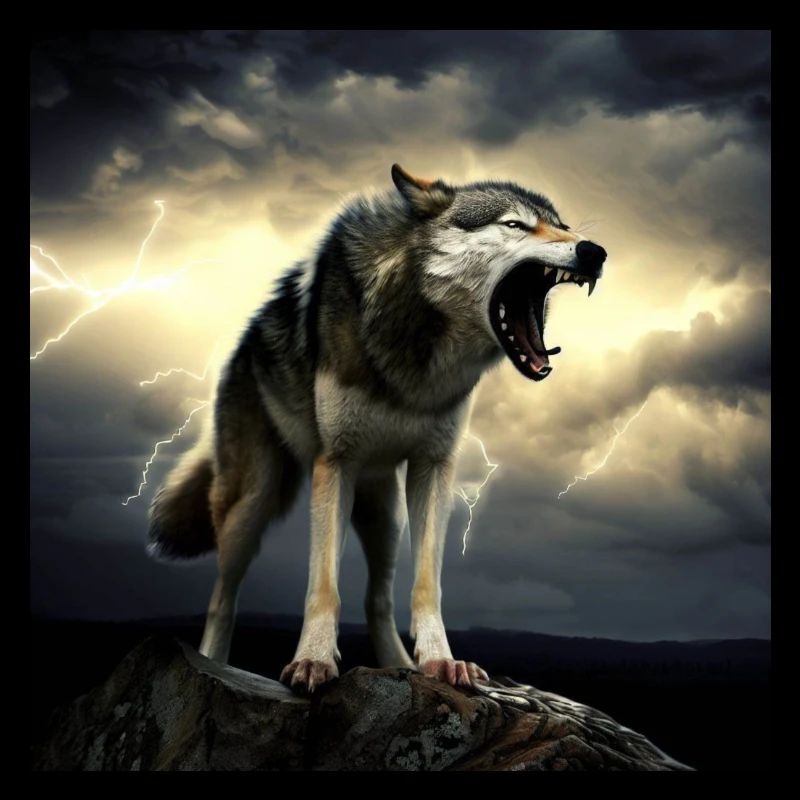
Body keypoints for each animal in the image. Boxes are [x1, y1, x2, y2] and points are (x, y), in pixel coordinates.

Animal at [148, 164, 606, 693]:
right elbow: (323, 586)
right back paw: (214, 663)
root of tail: (243, 346)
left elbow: (425, 585)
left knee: (378, 599)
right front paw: (312, 661)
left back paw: (400, 665)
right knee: (222, 597)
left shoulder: (433, 468)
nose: (595, 251)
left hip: (385, 515)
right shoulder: (335, 463)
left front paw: (440, 662)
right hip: (252, 504)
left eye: (564, 225)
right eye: (515, 225)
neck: (416, 353)